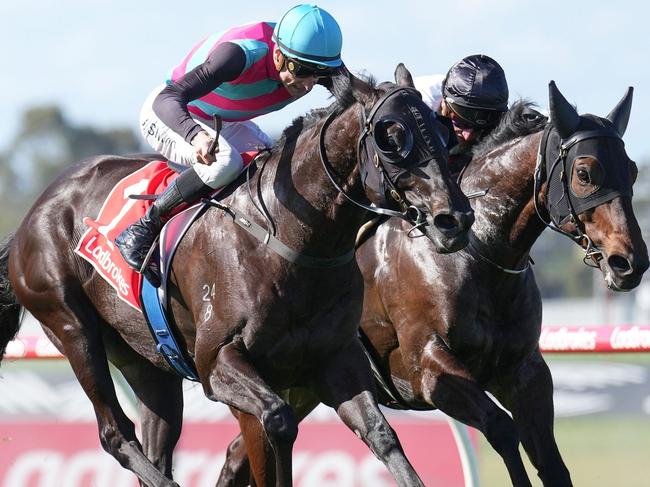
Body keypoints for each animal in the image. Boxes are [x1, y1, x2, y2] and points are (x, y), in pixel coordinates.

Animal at [0, 66, 470, 487]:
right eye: (391, 137)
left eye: (442, 131)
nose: (455, 220)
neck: (291, 239)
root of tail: (33, 214)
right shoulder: (218, 362)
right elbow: (277, 424)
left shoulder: (337, 359)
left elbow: (382, 435)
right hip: (72, 328)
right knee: (115, 434)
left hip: (147, 361)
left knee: (155, 440)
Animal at [215, 82, 644, 486]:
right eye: (585, 173)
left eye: (633, 170)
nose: (631, 261)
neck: (479, 251)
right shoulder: (429, 367)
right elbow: (502, 429)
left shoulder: (525, 371)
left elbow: (552, 464)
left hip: (307, 383)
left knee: (237, 452)